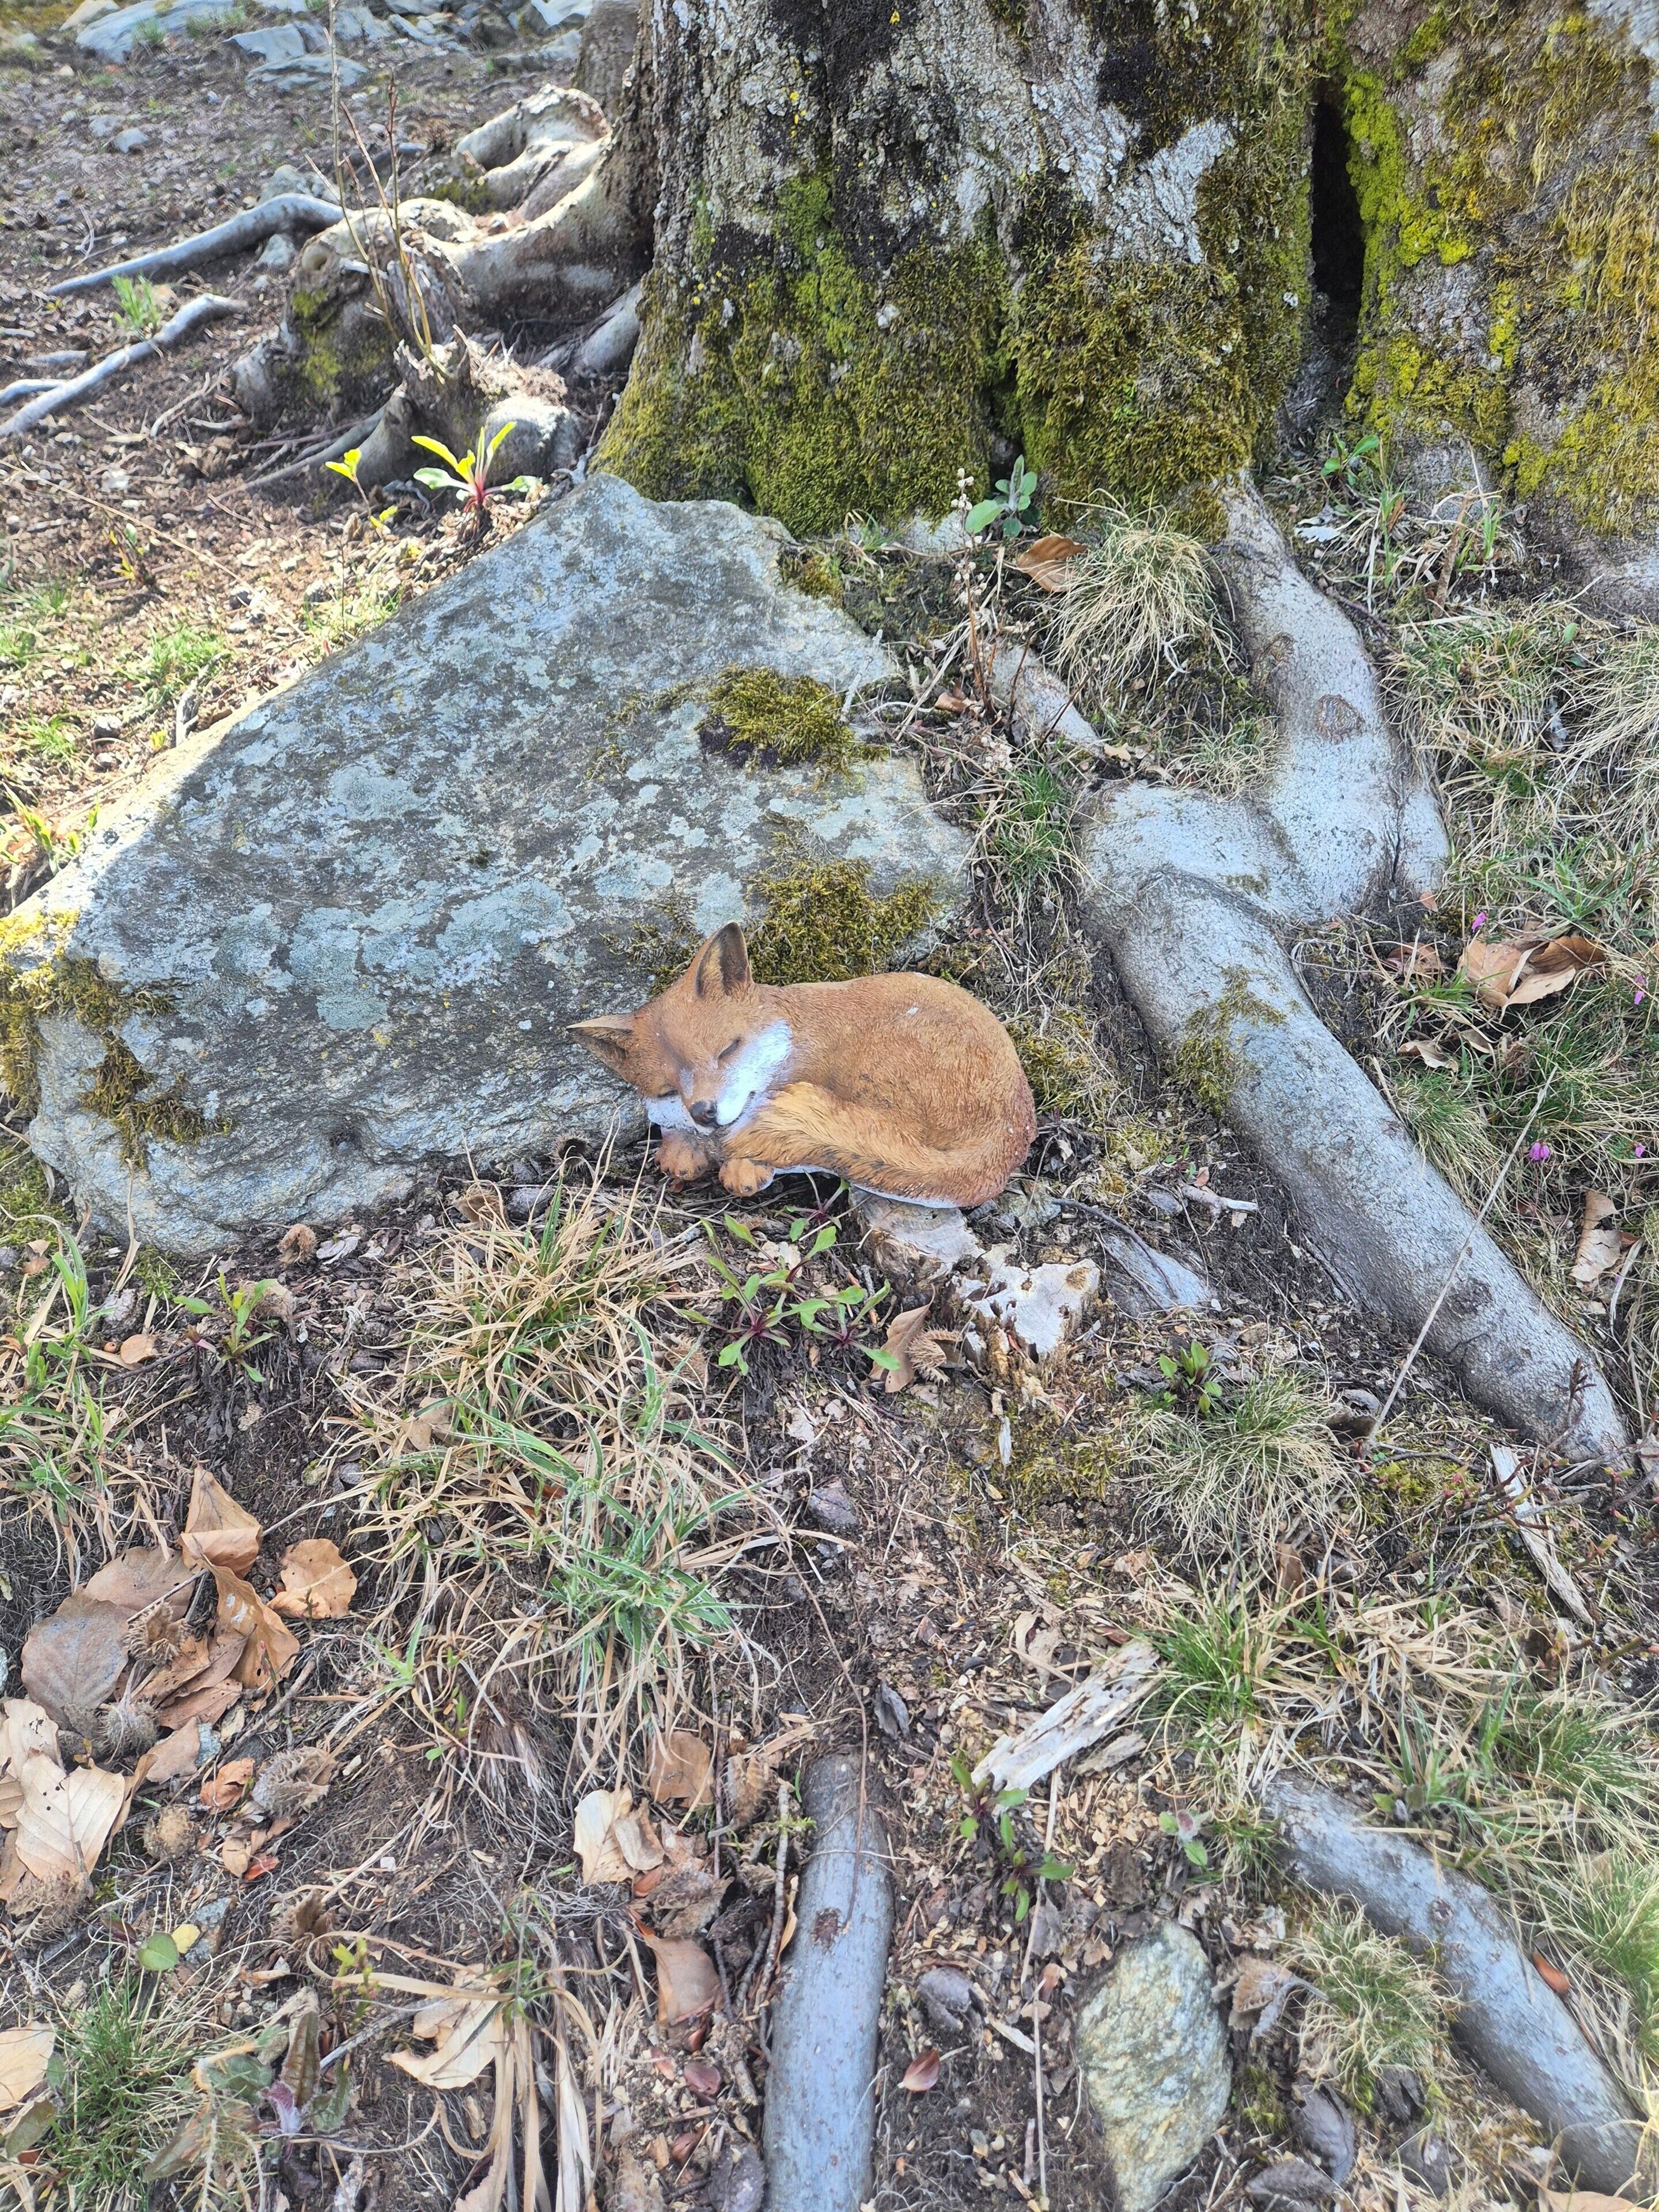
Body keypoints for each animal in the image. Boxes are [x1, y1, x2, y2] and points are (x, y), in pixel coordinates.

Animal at [571, 922, 1036, 1207]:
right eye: (668, 1089)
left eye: (727, 1050)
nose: (705, 1112)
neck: (795, 1041)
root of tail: (1013, 1136)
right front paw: (681, 1148)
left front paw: (742, 1166)